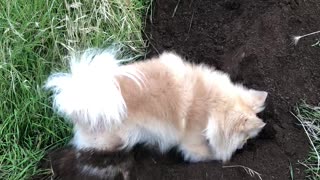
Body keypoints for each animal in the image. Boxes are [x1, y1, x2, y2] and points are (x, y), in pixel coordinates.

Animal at [45, 48, 266, 162]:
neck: (211, 103)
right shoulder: (192, 145)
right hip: (111, 139)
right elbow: (209, 154)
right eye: (245, 138)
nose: (244, 146)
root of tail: (81, 97)